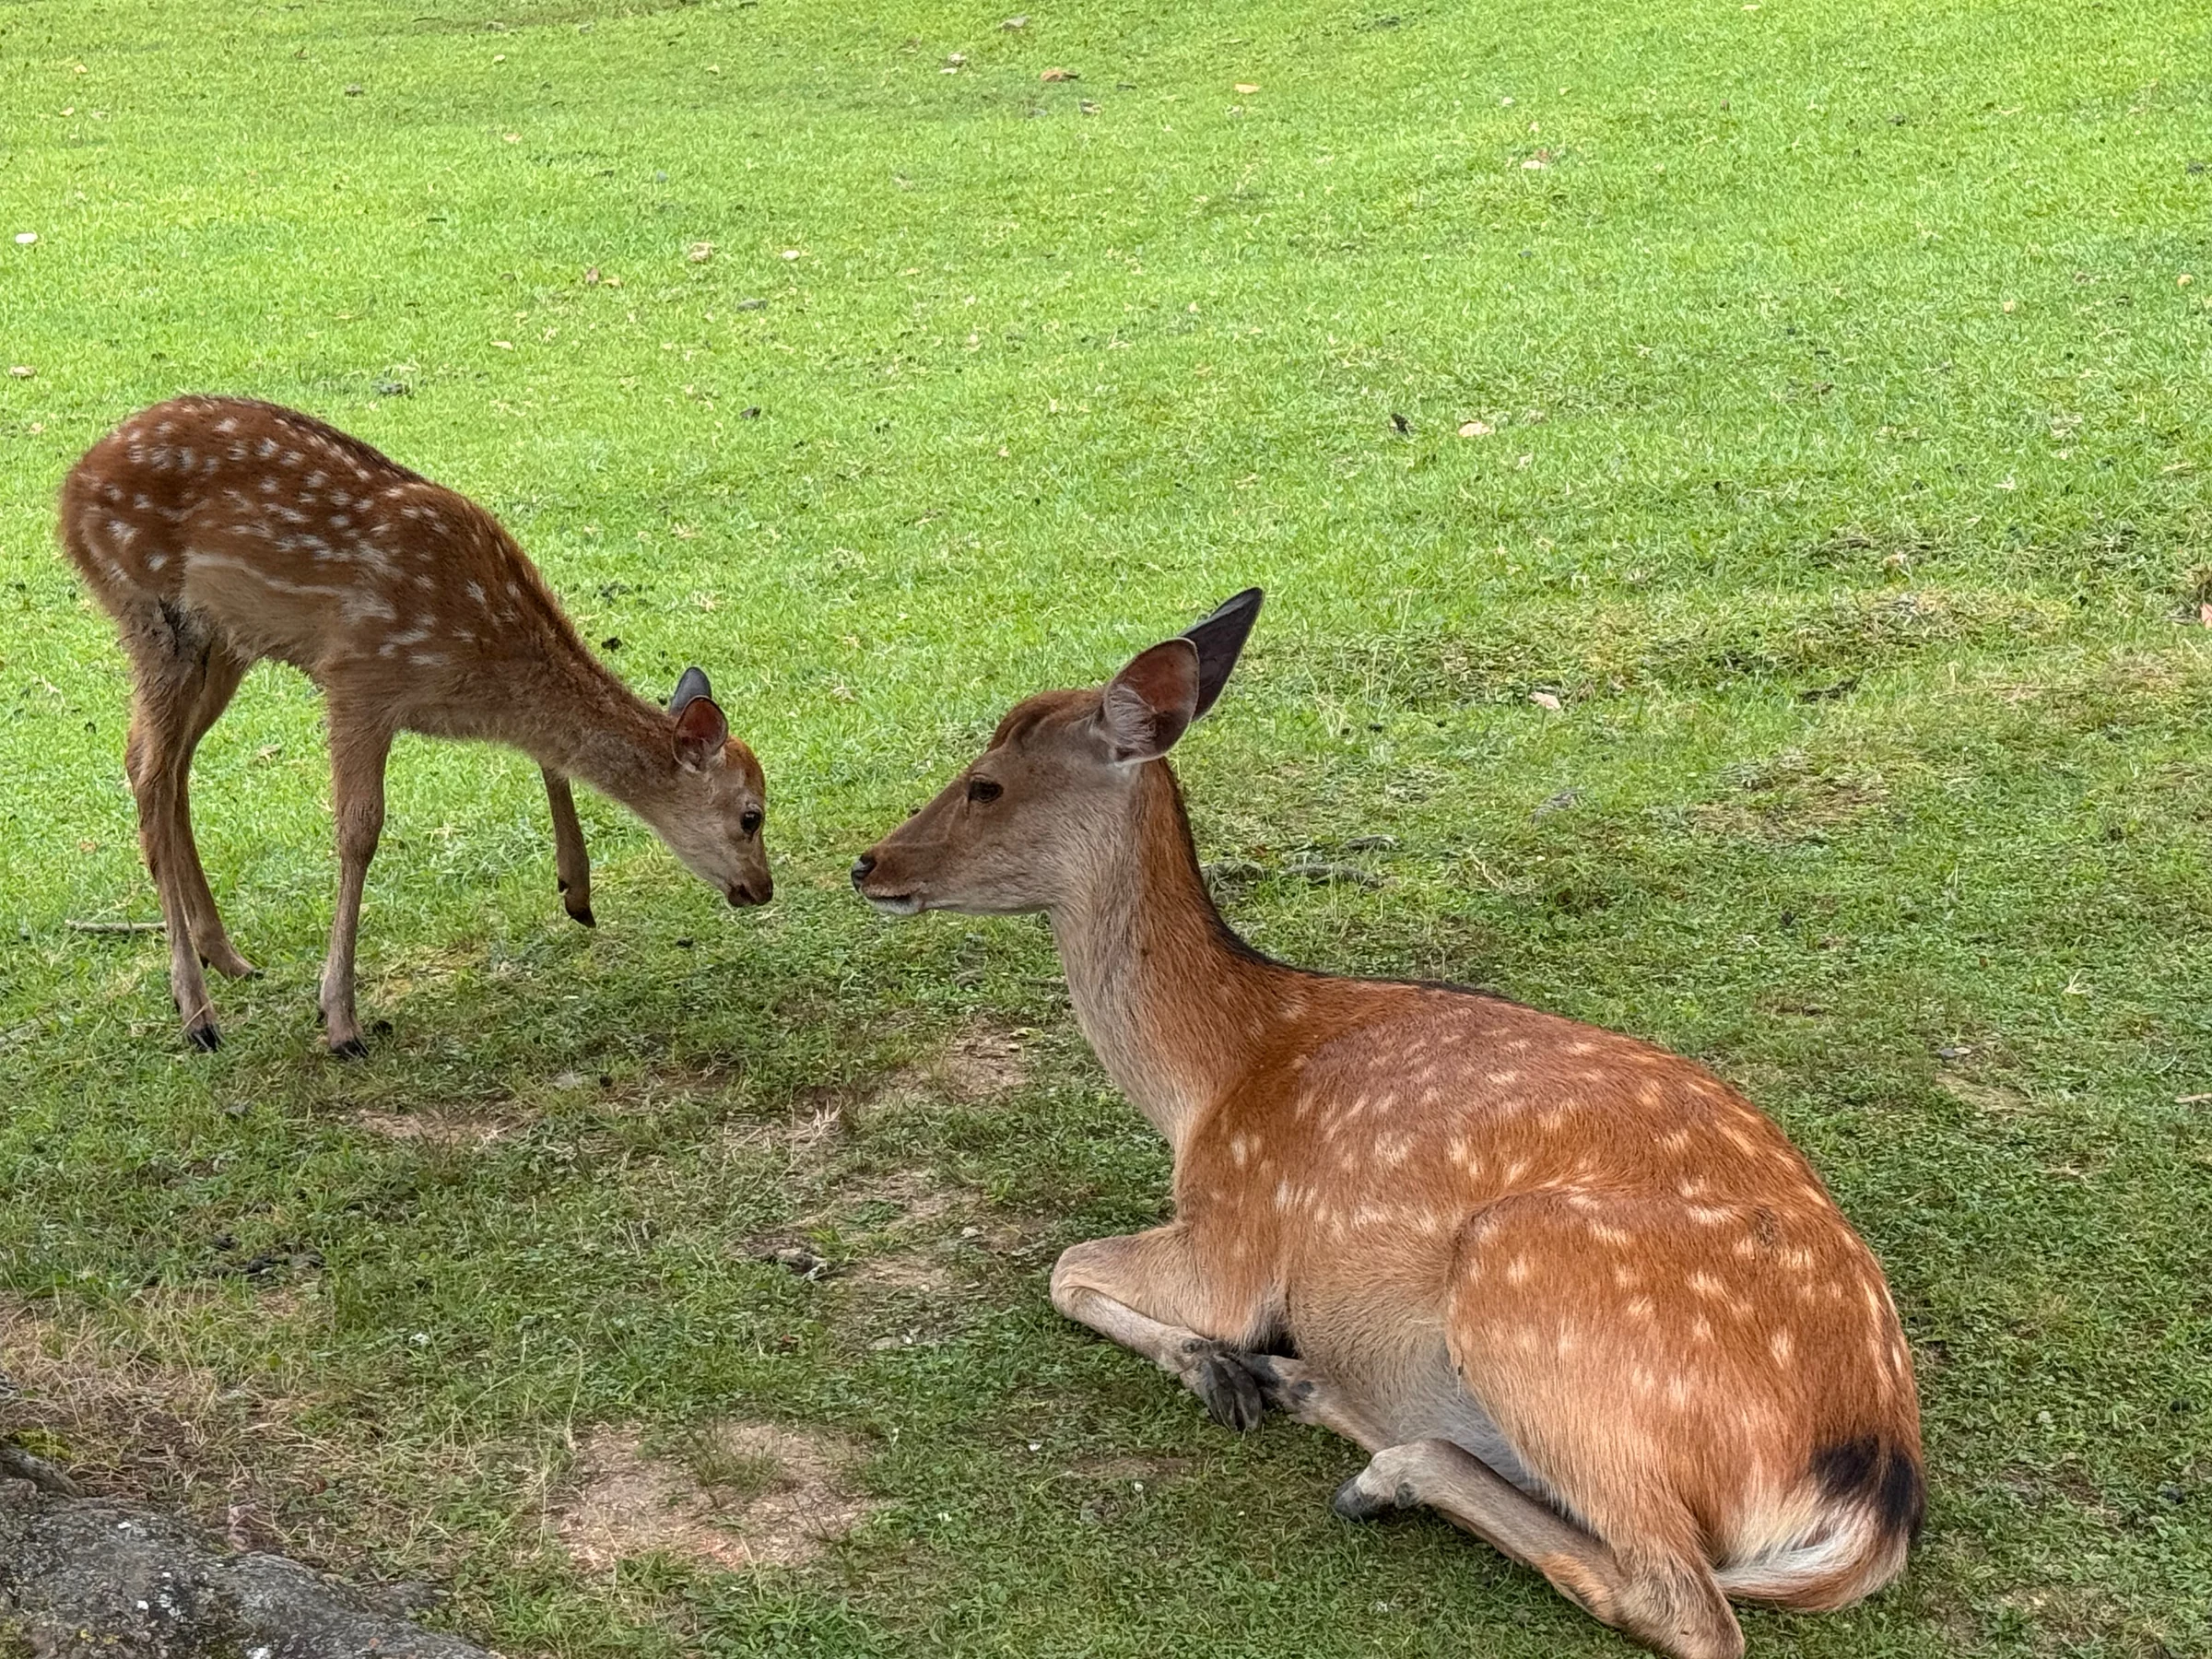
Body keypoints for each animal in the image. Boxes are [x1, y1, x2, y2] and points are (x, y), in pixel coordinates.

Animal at [60, 395, 771, 1056]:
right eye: (751, 816)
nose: (762, 888)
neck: (487, 663)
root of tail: (68, 494)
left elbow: (549, 758)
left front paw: (577, 889)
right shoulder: (359, 677)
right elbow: (359, 831)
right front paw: (340, 1020)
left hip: (223, 643)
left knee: (164, 764)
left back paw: (227, 956)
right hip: (153, 615)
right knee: (150, 769)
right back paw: (197, 1012)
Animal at [851, 590, 1923, 1659]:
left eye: (986, 784)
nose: (868, 862)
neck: (1209, 1084)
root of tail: (1873, 1489)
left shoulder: (1233, 1233)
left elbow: (1066, 1266)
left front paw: (1216, 1365)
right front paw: (1236, 1372)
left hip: (1530, 1289)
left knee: (1685, 1602)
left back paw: (1368, 1458)